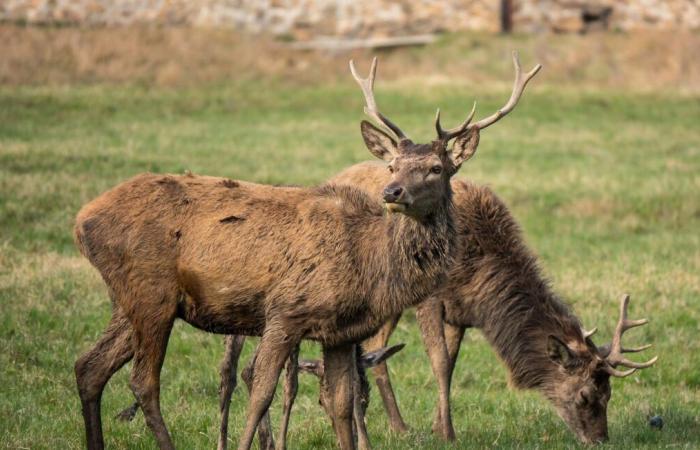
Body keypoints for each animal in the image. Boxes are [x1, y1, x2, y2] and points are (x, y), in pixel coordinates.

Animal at [72, 53, 536, 450]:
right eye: (392, 165)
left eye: (436, 168)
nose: (392, 191)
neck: (369, 262)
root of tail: (81, 220)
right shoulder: (285, 311)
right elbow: (260, 393)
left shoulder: (341, 332)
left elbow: (342, 405)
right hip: (152, 292)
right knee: (143, 382)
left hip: (132, 299)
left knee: (89, 366)